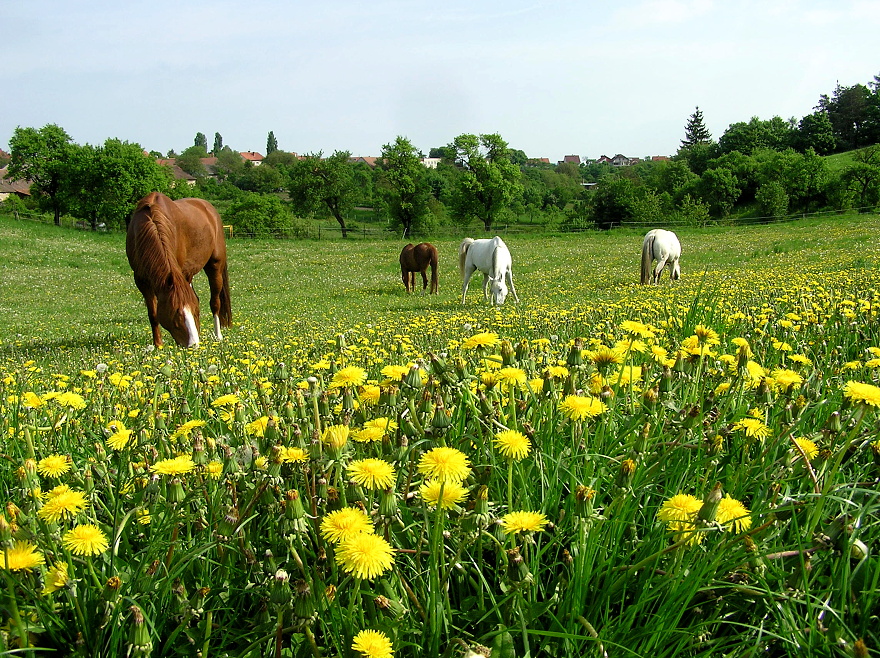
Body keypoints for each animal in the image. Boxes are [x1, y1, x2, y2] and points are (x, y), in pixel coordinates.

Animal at [127, 192, 232, 346]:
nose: (193, 344)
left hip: (214, 266)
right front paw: (158, 345)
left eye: (193, 311)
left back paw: (217, 335)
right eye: (175, 313)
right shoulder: (141, 281)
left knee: (215, 302)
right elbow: (153, 313)